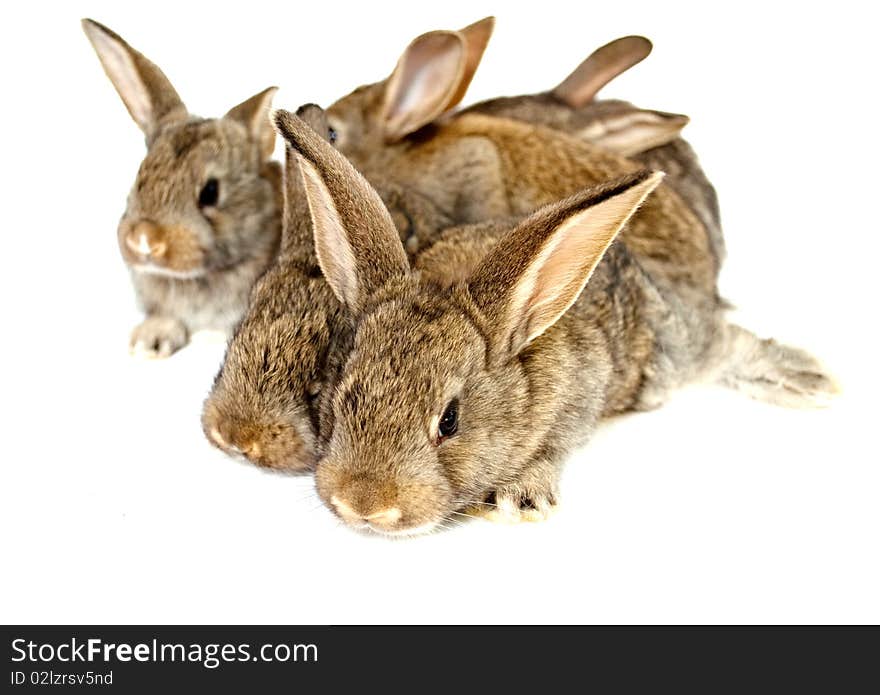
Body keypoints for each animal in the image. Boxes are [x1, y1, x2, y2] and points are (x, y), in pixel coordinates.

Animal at [276, 113, 840, 540]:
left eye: (449, 422)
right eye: (340, 397)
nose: (363, 505)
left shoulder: (581, 390)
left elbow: (555, 443)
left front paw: (520, 499)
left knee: (725, 342)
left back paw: (809, 381)